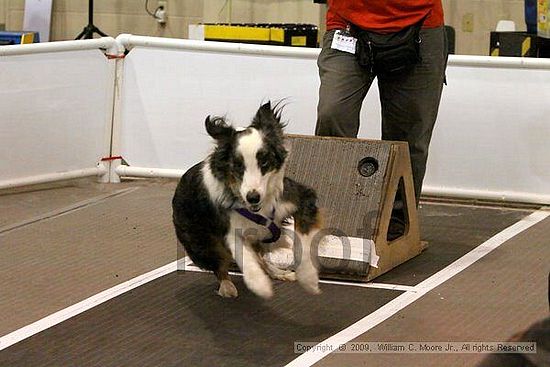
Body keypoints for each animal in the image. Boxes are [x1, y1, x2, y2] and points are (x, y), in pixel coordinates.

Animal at [174, 101, 324, 300]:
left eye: (264, 162)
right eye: (238, 166)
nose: (253, 197)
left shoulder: (300, 198)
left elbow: (304, 239)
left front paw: (308, 278)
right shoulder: (229, 228)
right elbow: (242, 254)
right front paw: (259, 284)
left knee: (260, 257)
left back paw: (278, 272)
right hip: (202, 242)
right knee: (219, 263)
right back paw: (227, 286)